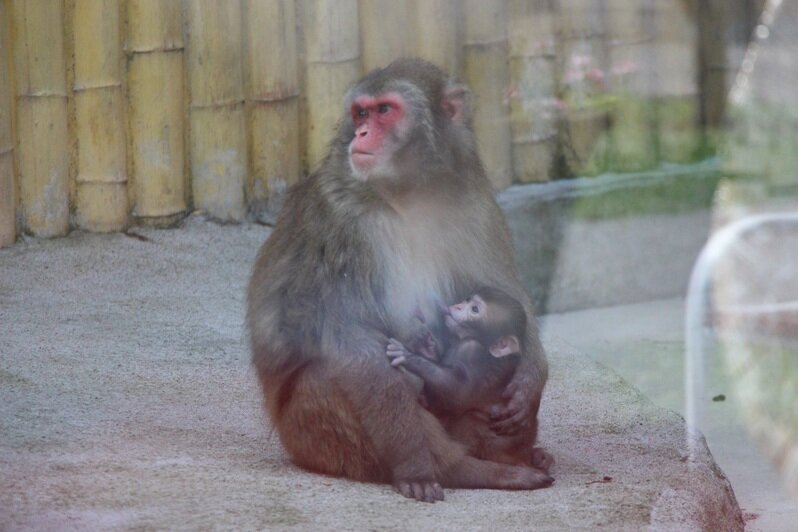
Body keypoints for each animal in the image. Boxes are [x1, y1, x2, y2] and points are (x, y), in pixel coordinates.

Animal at [390, 288, 552, 472]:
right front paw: (426, 347)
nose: (458, 306)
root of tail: (521, 458)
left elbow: (456, 392)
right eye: (467, 301)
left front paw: (408, 356)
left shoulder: (472, 350)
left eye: (474, 309)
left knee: (469, 419)